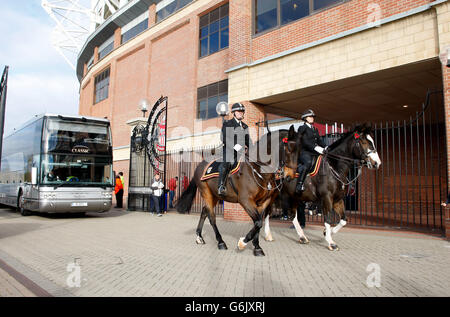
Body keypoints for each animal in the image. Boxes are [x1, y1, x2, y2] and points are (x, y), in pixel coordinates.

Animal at [176, 125, 298, 254]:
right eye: (289, 149)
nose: (290, 175)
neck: (257, 169)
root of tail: (200, 165)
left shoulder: (263, 202)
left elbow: (258, 222)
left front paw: (257, 247)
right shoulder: (245, 200)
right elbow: (258, 222)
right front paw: (242, 243)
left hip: (215, 196)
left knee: (204, 211)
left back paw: (199, 237)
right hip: (206, 193)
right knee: (211, 217)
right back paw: (221, 242)